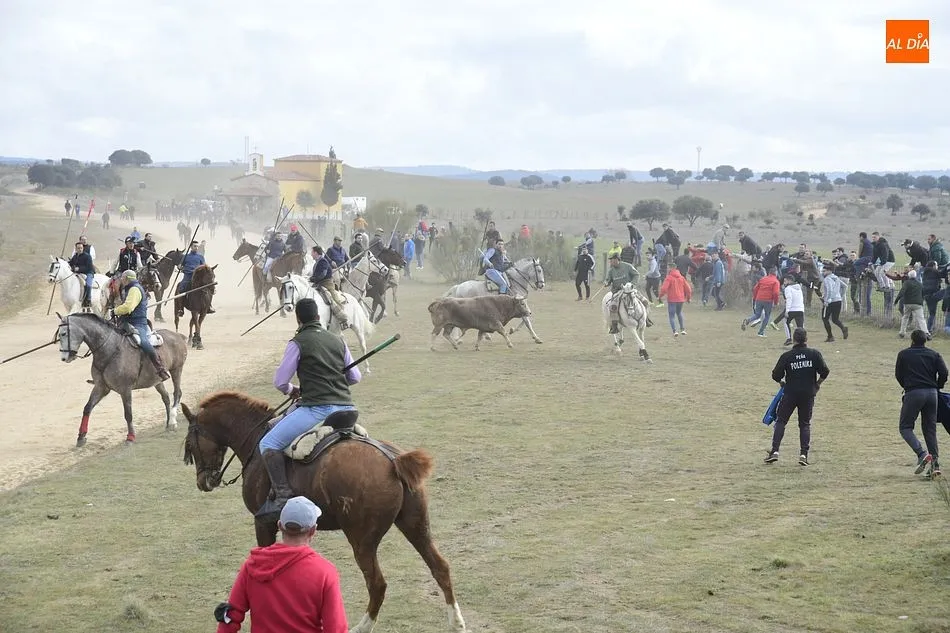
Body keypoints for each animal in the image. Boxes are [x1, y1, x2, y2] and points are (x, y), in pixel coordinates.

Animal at [56, 312, 188, 446]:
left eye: (63, 333)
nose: (64, 358)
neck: (111, 350)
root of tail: (178, 335)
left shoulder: (125, 390)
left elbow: (128, 414)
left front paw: (130, 437)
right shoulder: (100, 387)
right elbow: (87, 408)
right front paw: (81, 436)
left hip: (177, 370)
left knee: (177, 393)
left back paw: (173, 421)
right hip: (157, 381)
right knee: (166, 397)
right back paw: (168, 423)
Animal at [181, 391, 467, 633]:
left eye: (190, 445)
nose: (204, 482)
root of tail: (394, 462)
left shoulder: (262, 523)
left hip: (362, 540)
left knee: (377, 584)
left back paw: (362, 627)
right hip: (415, 525)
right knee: (440, 567)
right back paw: (456, 622)